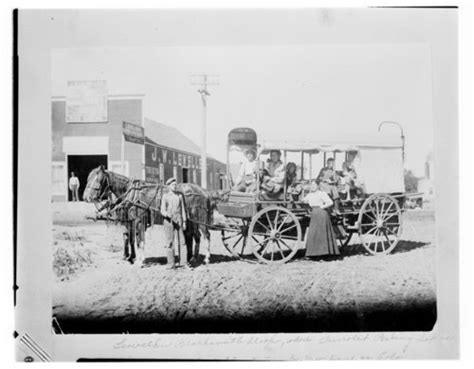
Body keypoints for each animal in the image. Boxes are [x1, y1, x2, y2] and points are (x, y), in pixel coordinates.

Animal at [83, 165, 213, 266]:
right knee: (195, 236)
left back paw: (206, 259)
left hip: (200, 220)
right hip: (191, 221)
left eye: (98, 179)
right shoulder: (132, 222)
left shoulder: (139, 220)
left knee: (206, 235)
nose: (86, 197)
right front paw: (133, 258)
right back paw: (193, 258)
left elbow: (139, 240)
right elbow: (133, 239)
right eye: (88, 178)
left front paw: (139, 260)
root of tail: (203, 191)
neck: (132, 194)